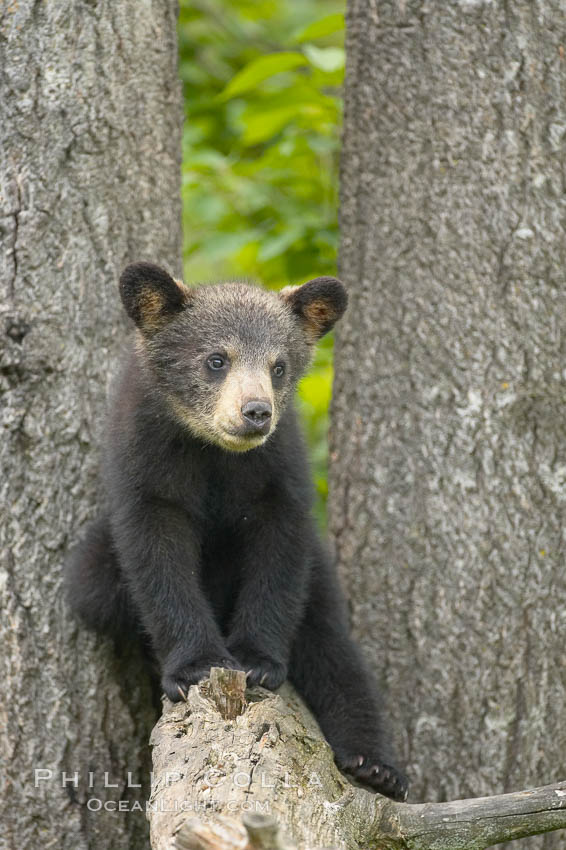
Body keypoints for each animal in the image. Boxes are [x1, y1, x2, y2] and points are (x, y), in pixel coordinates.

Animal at [65, 261, 408, 802]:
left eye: (279, 366)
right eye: (215, 359)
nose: (255, 412)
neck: (213, 453)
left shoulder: (277, 472)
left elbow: (278, 555)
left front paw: (257, 659)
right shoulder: (146, 461)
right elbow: (157, 558)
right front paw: (195, 664)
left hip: (320, 575)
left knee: (333, 644)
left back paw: (374, 765)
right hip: (98, 567)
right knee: (95, 584)